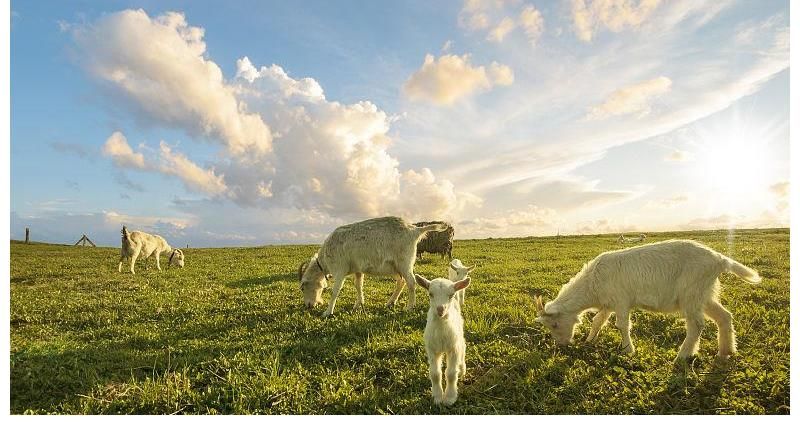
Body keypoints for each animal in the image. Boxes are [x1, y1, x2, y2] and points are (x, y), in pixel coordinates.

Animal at [298, 217, 450, 316]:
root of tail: (414, 230)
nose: (308, 306)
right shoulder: (358, 270)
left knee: (411, 282)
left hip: (404, 262)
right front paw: (358, 305)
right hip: (394, 266)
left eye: (303, 287)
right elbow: (358, 285)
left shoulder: (339, 270)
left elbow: (335, 290)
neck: (325, 258)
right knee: (401, 281)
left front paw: (328, 312)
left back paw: (409, 307)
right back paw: (390, 302)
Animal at [418, 274, 468, 408]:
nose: (440, 309)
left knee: (463, 347)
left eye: (451, 295)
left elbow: (451, 374)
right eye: (430, 293)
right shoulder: (432, 349)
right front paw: (437, 397)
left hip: (459, 335)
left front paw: (450, 398)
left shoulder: (453, 348)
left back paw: (462, 369)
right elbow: (435, 374)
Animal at [536, 240, 760, 362]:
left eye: (554, 324)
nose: (562, 345)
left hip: (691, 292)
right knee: (724, 317)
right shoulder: (609, 303)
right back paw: (726, 352)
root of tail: (720, 259)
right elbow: (597, 321)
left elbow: (622, 325)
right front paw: (590, 340)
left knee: (696, 324)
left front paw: (628, 350)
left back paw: (682, 357)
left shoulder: (621, 301)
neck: (592, 282)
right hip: (704, 294)